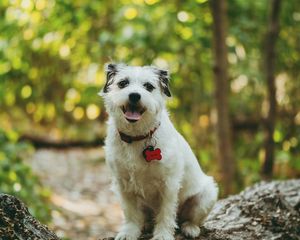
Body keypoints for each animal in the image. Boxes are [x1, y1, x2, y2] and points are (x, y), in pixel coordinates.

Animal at [99, 63, 219, 240]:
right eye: (123, 83)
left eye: (149, 86)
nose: (134, 95)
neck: (137, 137)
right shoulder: (123, 184)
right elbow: (130, 212)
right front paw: (129, 231)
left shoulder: (169, 184)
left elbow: (166, 213)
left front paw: (162, 234)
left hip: (206, 195)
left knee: (189, 219)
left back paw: (190, 227)